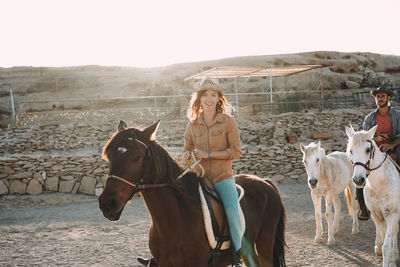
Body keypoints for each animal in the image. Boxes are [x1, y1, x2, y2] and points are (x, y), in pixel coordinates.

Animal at [98, 122, 286, 267]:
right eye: (110, 156)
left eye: (137, 157)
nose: (107, 203)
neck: (175, 219)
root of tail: (264, 182)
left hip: (264, 245)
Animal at [346, 126, 398, 267]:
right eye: (350, 151)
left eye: (368, 150)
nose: (358, 180)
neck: (380, 184)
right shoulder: (377, 215)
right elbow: (385, 241)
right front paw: (390, 258)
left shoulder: (393, 214)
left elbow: (388, 245)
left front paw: (391, 259)